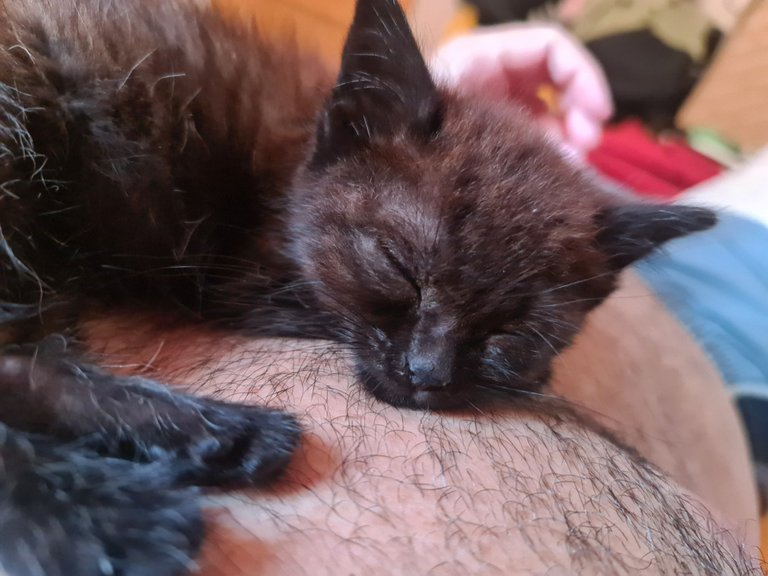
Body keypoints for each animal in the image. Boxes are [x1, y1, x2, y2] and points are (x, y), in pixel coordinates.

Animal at [0, 0, 716, 572]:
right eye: (396, 264)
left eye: (512, 332)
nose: (427, 371)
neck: (290, 163)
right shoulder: (249, 282)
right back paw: (125, 517)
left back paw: (213, 447)